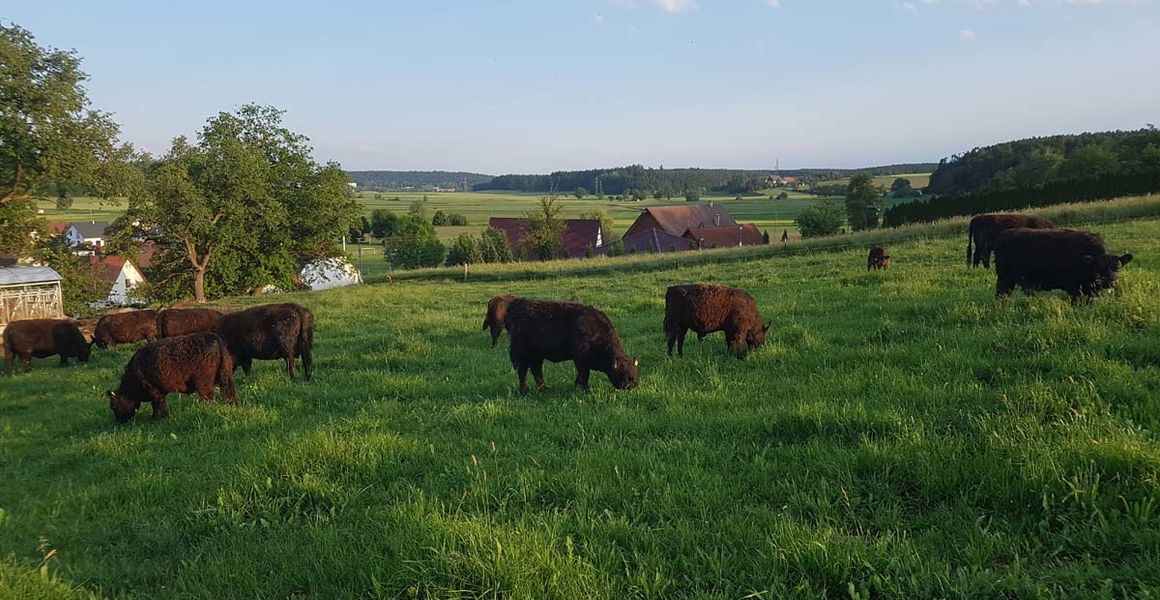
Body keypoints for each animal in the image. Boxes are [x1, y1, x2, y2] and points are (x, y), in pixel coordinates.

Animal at [107, 329, 236, 422]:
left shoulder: (154, 391)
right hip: (226, 378)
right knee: (230, 394)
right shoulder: (161, 390)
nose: (118, 422)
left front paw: (156, 419)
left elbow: (157, 405)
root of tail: (214, 337)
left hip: (204, 383)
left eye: (113, 407)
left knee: (208, 398)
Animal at [503, 295, 640, 389]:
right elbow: (584, 375)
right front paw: (585, 389)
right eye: (627, 376)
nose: (633, 385)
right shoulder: (581, 360)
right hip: (522, 356)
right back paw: (524, 390)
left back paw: (543, 388)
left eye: (635, 375)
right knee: (522, 372)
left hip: (536, 357)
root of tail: (517, 306)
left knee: (536, 371)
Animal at [988, 228, 1132, 304]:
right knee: (1001, 295)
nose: (1111, 283)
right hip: (1005, 279)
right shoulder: (1073, 288)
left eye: (1118, 268)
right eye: (1099, 270)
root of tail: (1002, 235)